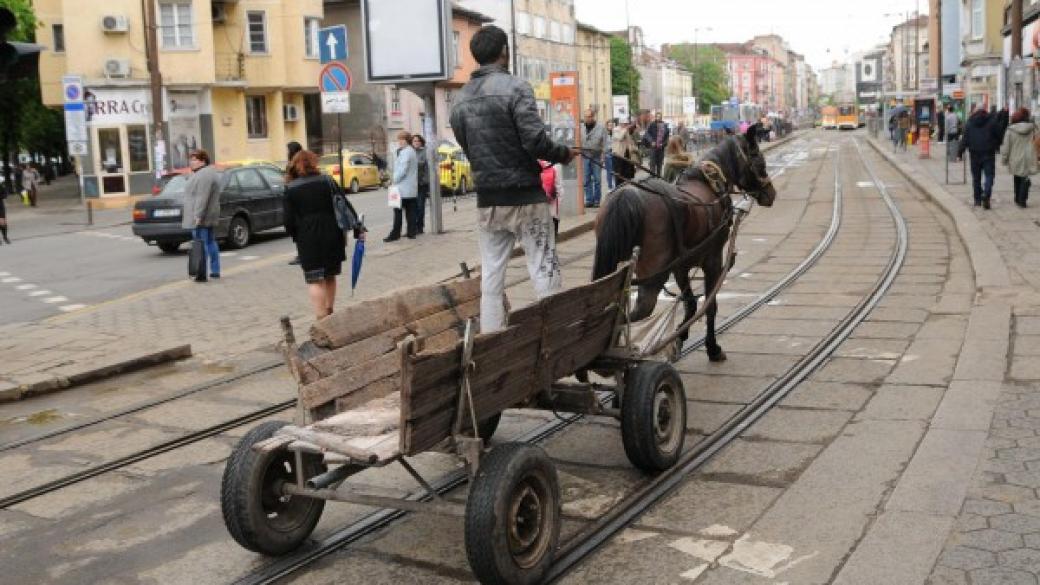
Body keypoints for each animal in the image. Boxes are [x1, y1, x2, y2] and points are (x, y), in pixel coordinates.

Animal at [590, 122, 777, 360]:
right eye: (760, 162)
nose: (771, 194)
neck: (709, 184)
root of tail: (627, 195)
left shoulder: (680, 267)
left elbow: (690, 303)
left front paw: (680, 337)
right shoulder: (713, 261)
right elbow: (709, 304)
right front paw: (712, 348)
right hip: (653, 275)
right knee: (634, 312)